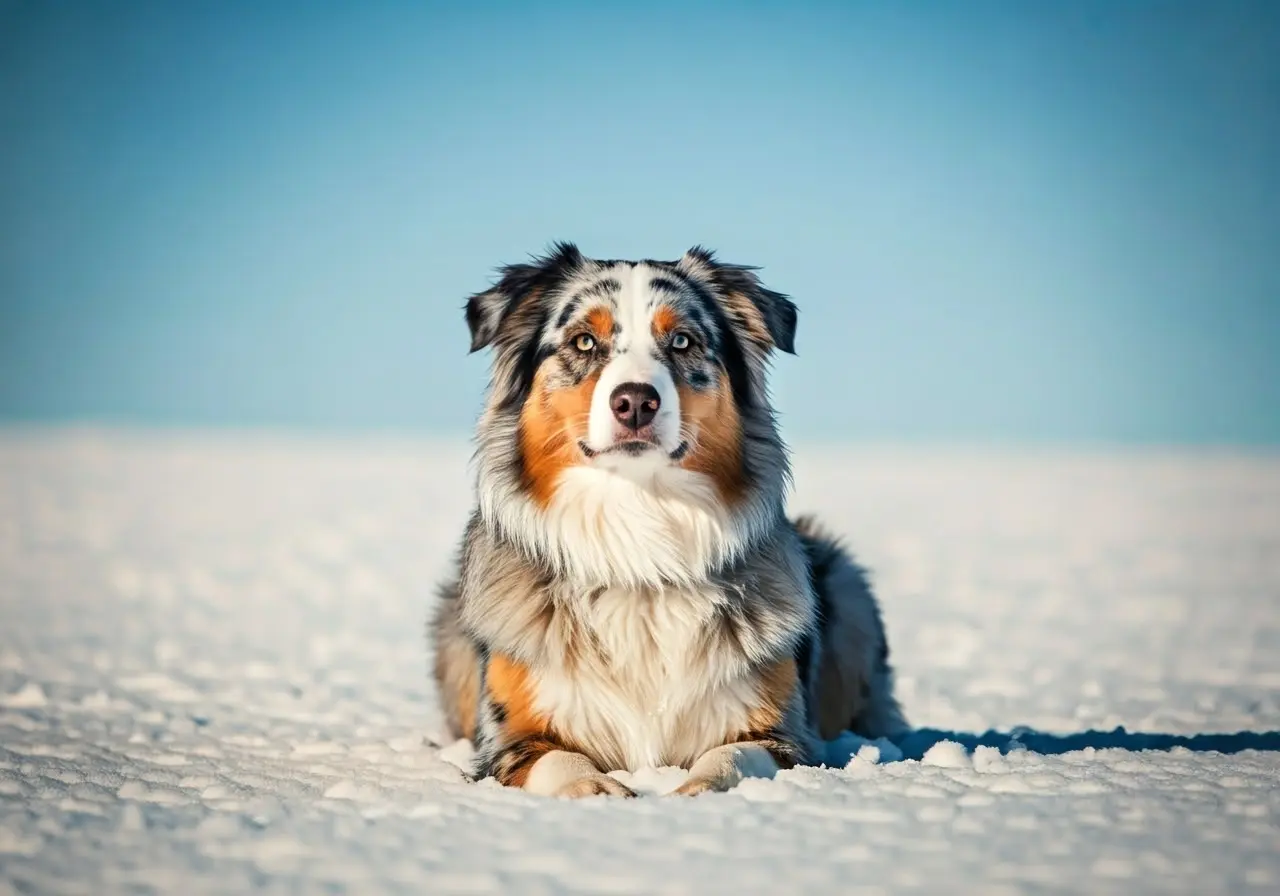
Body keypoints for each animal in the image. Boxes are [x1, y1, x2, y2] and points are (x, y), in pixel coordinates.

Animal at [424, 241, 906, 793]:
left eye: (681, 340)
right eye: (584, 341)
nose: (635, 401)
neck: (640, 537)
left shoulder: (783, 736)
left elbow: (733, 757)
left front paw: (697, 790)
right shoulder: (508, 741)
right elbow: (560, 761)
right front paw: (594, 790)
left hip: (849, 590)